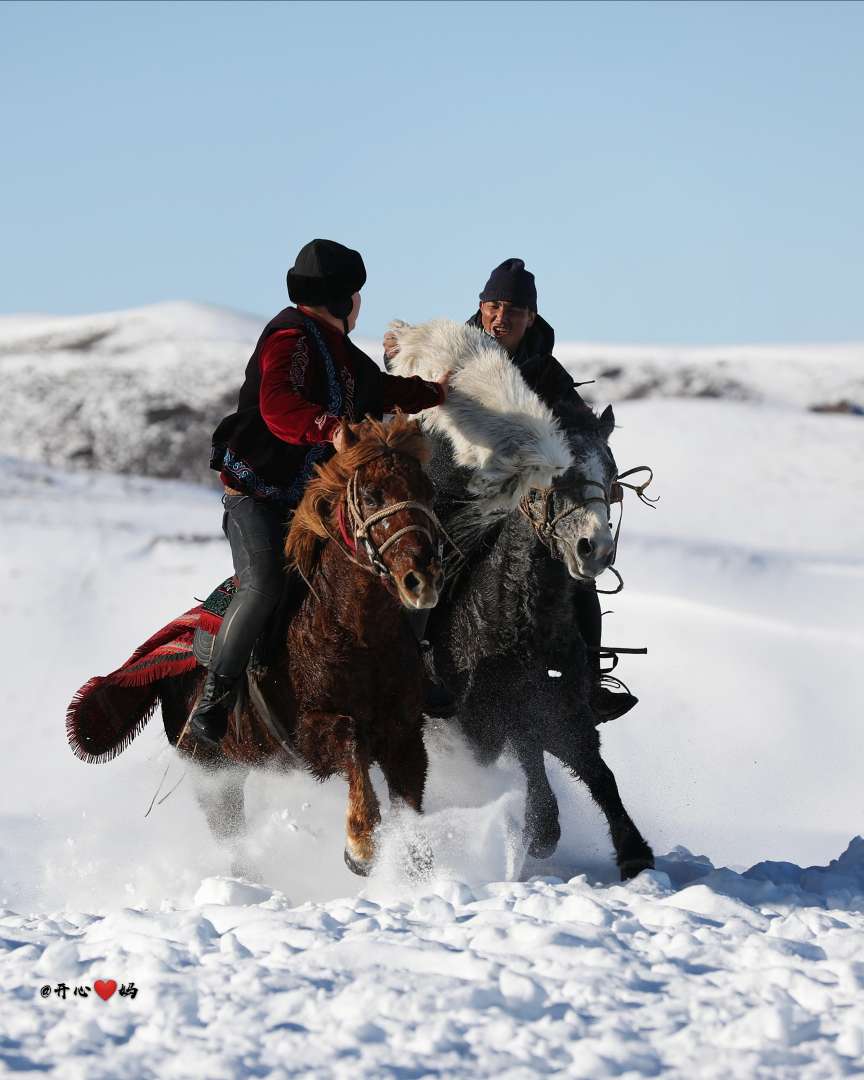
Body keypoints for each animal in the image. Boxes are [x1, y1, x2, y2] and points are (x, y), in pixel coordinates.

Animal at [154, 412, 442, 876]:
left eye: (428, 492)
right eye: (373, 495)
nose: (422, 579)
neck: (358, 634)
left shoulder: (404, 736)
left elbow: (411, 804)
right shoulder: (311, 737)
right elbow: (350, 741)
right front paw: (361, 846)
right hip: (210, 771)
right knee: (228, 826)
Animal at [425, 401, 656, 881]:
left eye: (612, 471)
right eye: (556, 474)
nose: (596, 549)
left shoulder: (568, 708)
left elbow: (598, 772)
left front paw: (633, 850)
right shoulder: (492, 713)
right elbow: (530, 751)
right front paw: (544, 831)